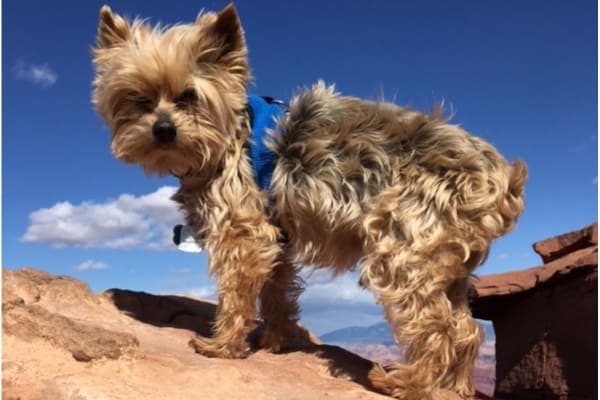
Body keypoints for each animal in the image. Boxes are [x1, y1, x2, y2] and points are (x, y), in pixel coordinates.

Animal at [91, 4, 528, 398]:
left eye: (189, 96)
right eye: (138, 99)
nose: (163, 130)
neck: (226, 137)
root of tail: (502, 179)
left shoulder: (242, 229)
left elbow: (236, 292)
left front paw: (223, 346)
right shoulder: (276, 235)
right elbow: (277, 290)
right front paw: (275, 342)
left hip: (407, 242)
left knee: (436, 323)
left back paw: (408, 384)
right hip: (446, 256)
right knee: (466, 326)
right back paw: (455, 386)